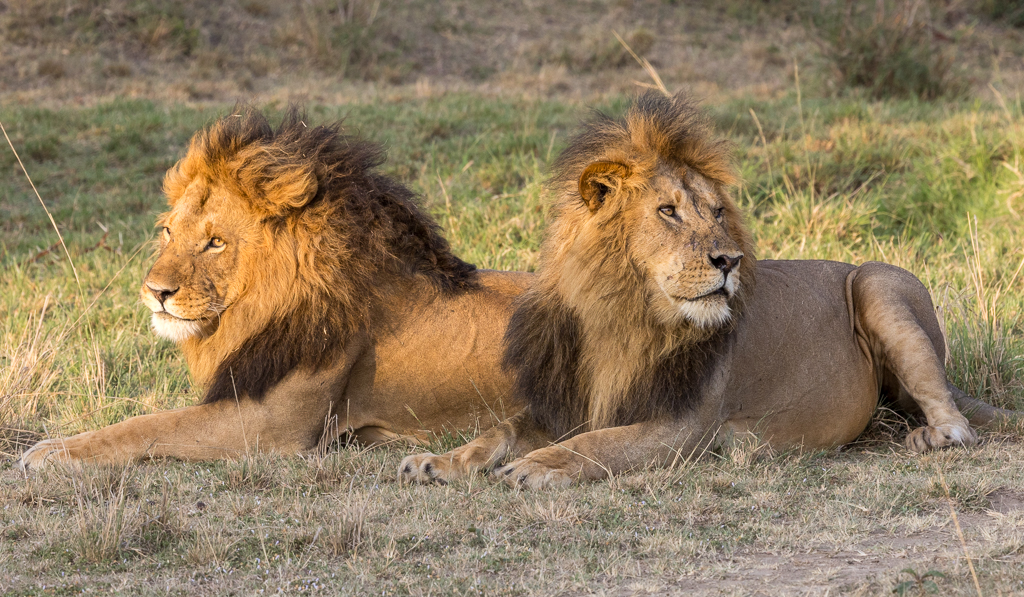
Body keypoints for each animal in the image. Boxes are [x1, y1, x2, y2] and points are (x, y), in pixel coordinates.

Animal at [19, 107, 532, 471]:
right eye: (167, 231)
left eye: (216, 242)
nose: (154, 291)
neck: (258, 307)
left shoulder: (268, 425)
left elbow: (146, 424)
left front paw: (51, 452)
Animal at [395, 92, 1011, 491]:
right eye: (667, 212)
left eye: (717, 212)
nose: (728, 260)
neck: (622, 314)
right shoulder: (567, 397)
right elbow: (498, 431)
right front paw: (437, 461)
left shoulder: (687, 426)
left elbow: (598, 444)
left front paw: (539, 465)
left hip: (877, 281)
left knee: (956, 422)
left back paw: (930, 438)